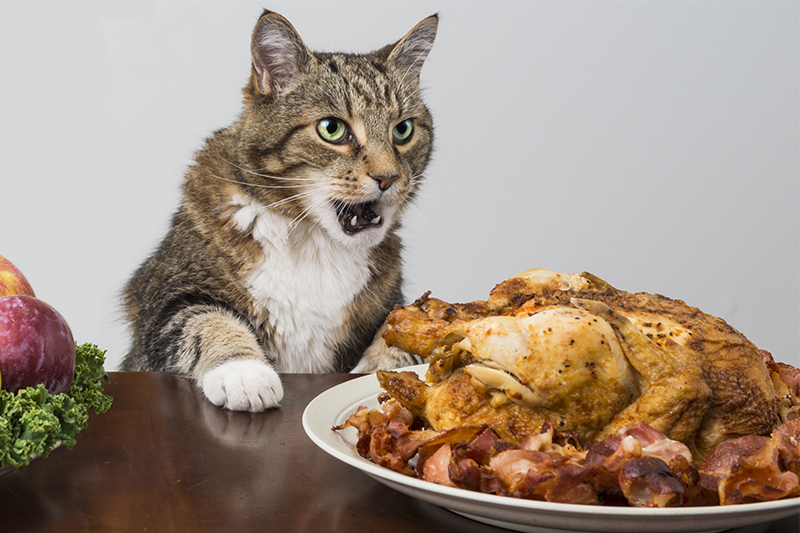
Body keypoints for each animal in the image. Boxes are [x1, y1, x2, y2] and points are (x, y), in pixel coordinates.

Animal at [120, 10, 438, 412]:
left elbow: (406, 335)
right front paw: (244, 373)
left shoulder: (392, 304)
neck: (314, 241)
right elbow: (205, 321)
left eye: (403, 130)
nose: (389, 177)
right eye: (332, 129)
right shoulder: (167, 299)